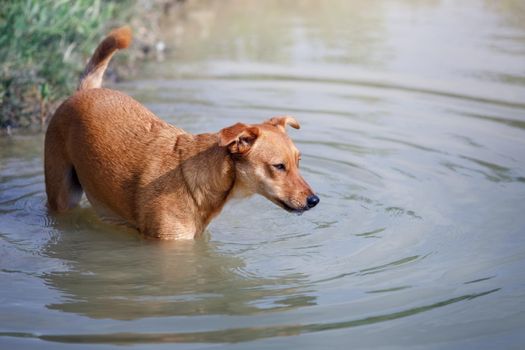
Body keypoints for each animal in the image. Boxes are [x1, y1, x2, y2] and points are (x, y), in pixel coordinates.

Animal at [44, 26, 320, 239]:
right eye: (279, 166)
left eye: (298, 162)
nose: (314, 200)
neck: (197, 184)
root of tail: (85, 90)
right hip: (62, 193)